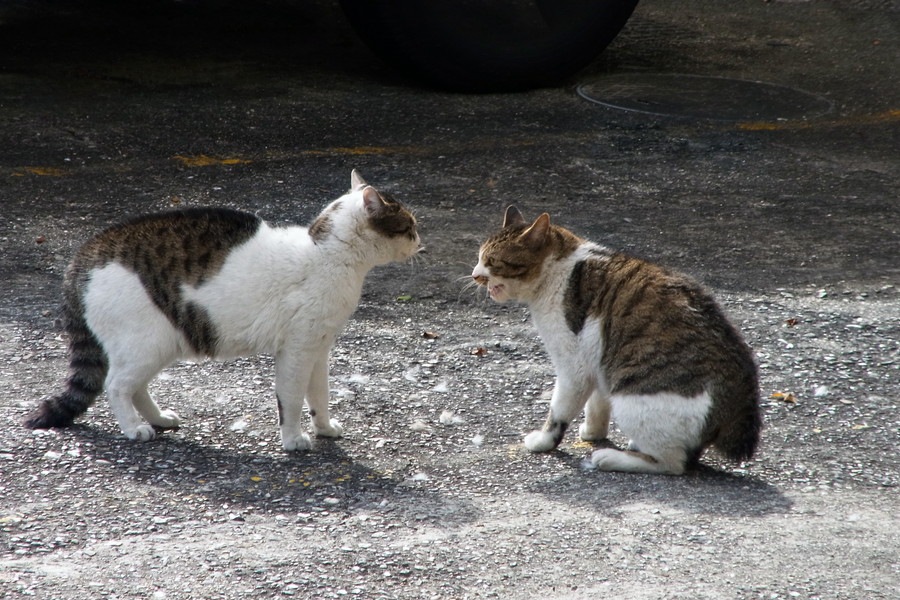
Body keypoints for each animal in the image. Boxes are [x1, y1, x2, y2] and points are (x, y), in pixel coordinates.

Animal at [24, 169, 422, 450]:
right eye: (409, 225)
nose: (421, 241)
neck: (329, 255)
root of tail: (85, 252)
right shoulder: (296, 350)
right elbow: (292, 398)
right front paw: (293, 439)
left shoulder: (318, 348)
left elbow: (319, 395)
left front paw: (323, 427)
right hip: (147, 343)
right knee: (116, 385)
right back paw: (134, 428)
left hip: (158, 345)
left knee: (134, 386)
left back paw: (158, 419)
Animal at [474, 206, 764, 474]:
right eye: (479, 257)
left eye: (492, 260)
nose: (475, 274)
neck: (558, 268)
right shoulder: (598, 360)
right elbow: (597, 403)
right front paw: (593, 432)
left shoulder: (573, 367)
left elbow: (559, 411)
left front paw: (544, 440)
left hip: (633, 401)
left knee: (673, 464)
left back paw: (611, 458)